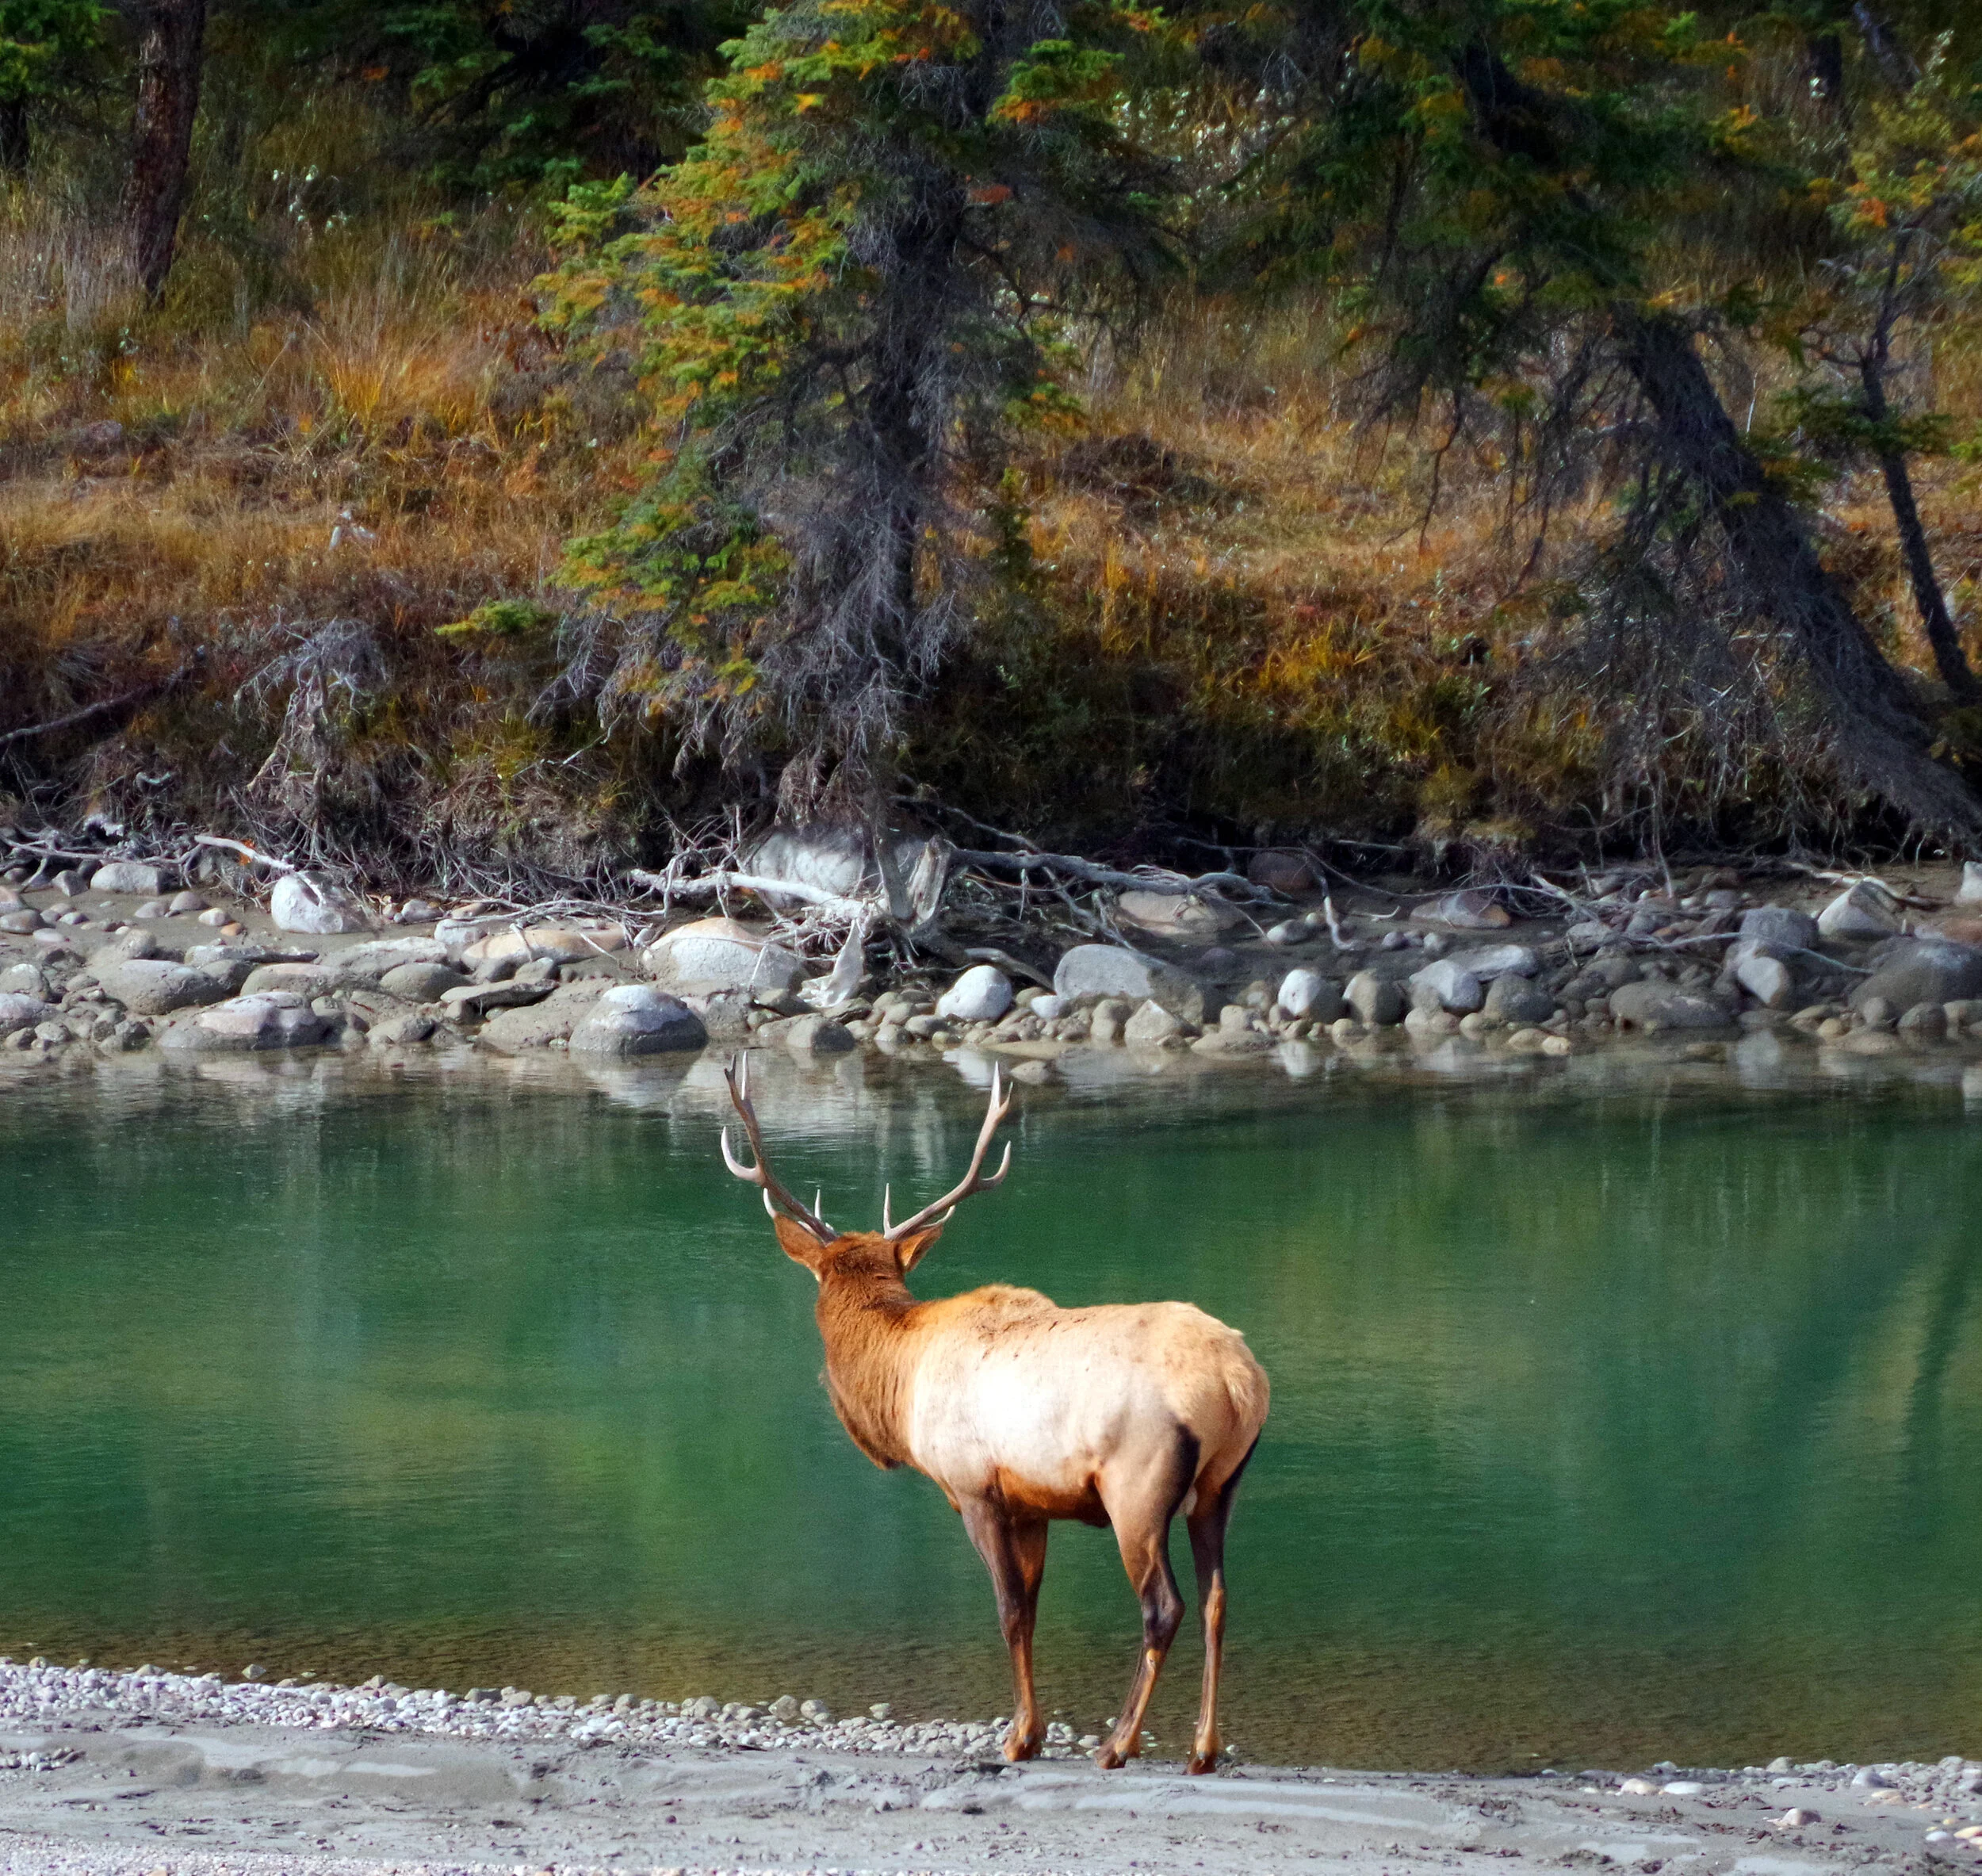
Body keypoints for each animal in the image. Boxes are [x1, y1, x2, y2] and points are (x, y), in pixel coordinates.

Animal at [718, 1052, 1270, 1775]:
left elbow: (1008, 1609)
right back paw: (1203, 1749)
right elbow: (1031, 1608)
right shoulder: (1032, 1502)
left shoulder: (974, 1485)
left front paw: (1020, 1738)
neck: (901, 1378)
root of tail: (1239, 1383)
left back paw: (1118, 1744)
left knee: (1164, 1606)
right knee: (1217, 1600)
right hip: (1221, 1485)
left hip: (1137, 1484)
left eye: (819, 1283)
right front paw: (1029, 1730)